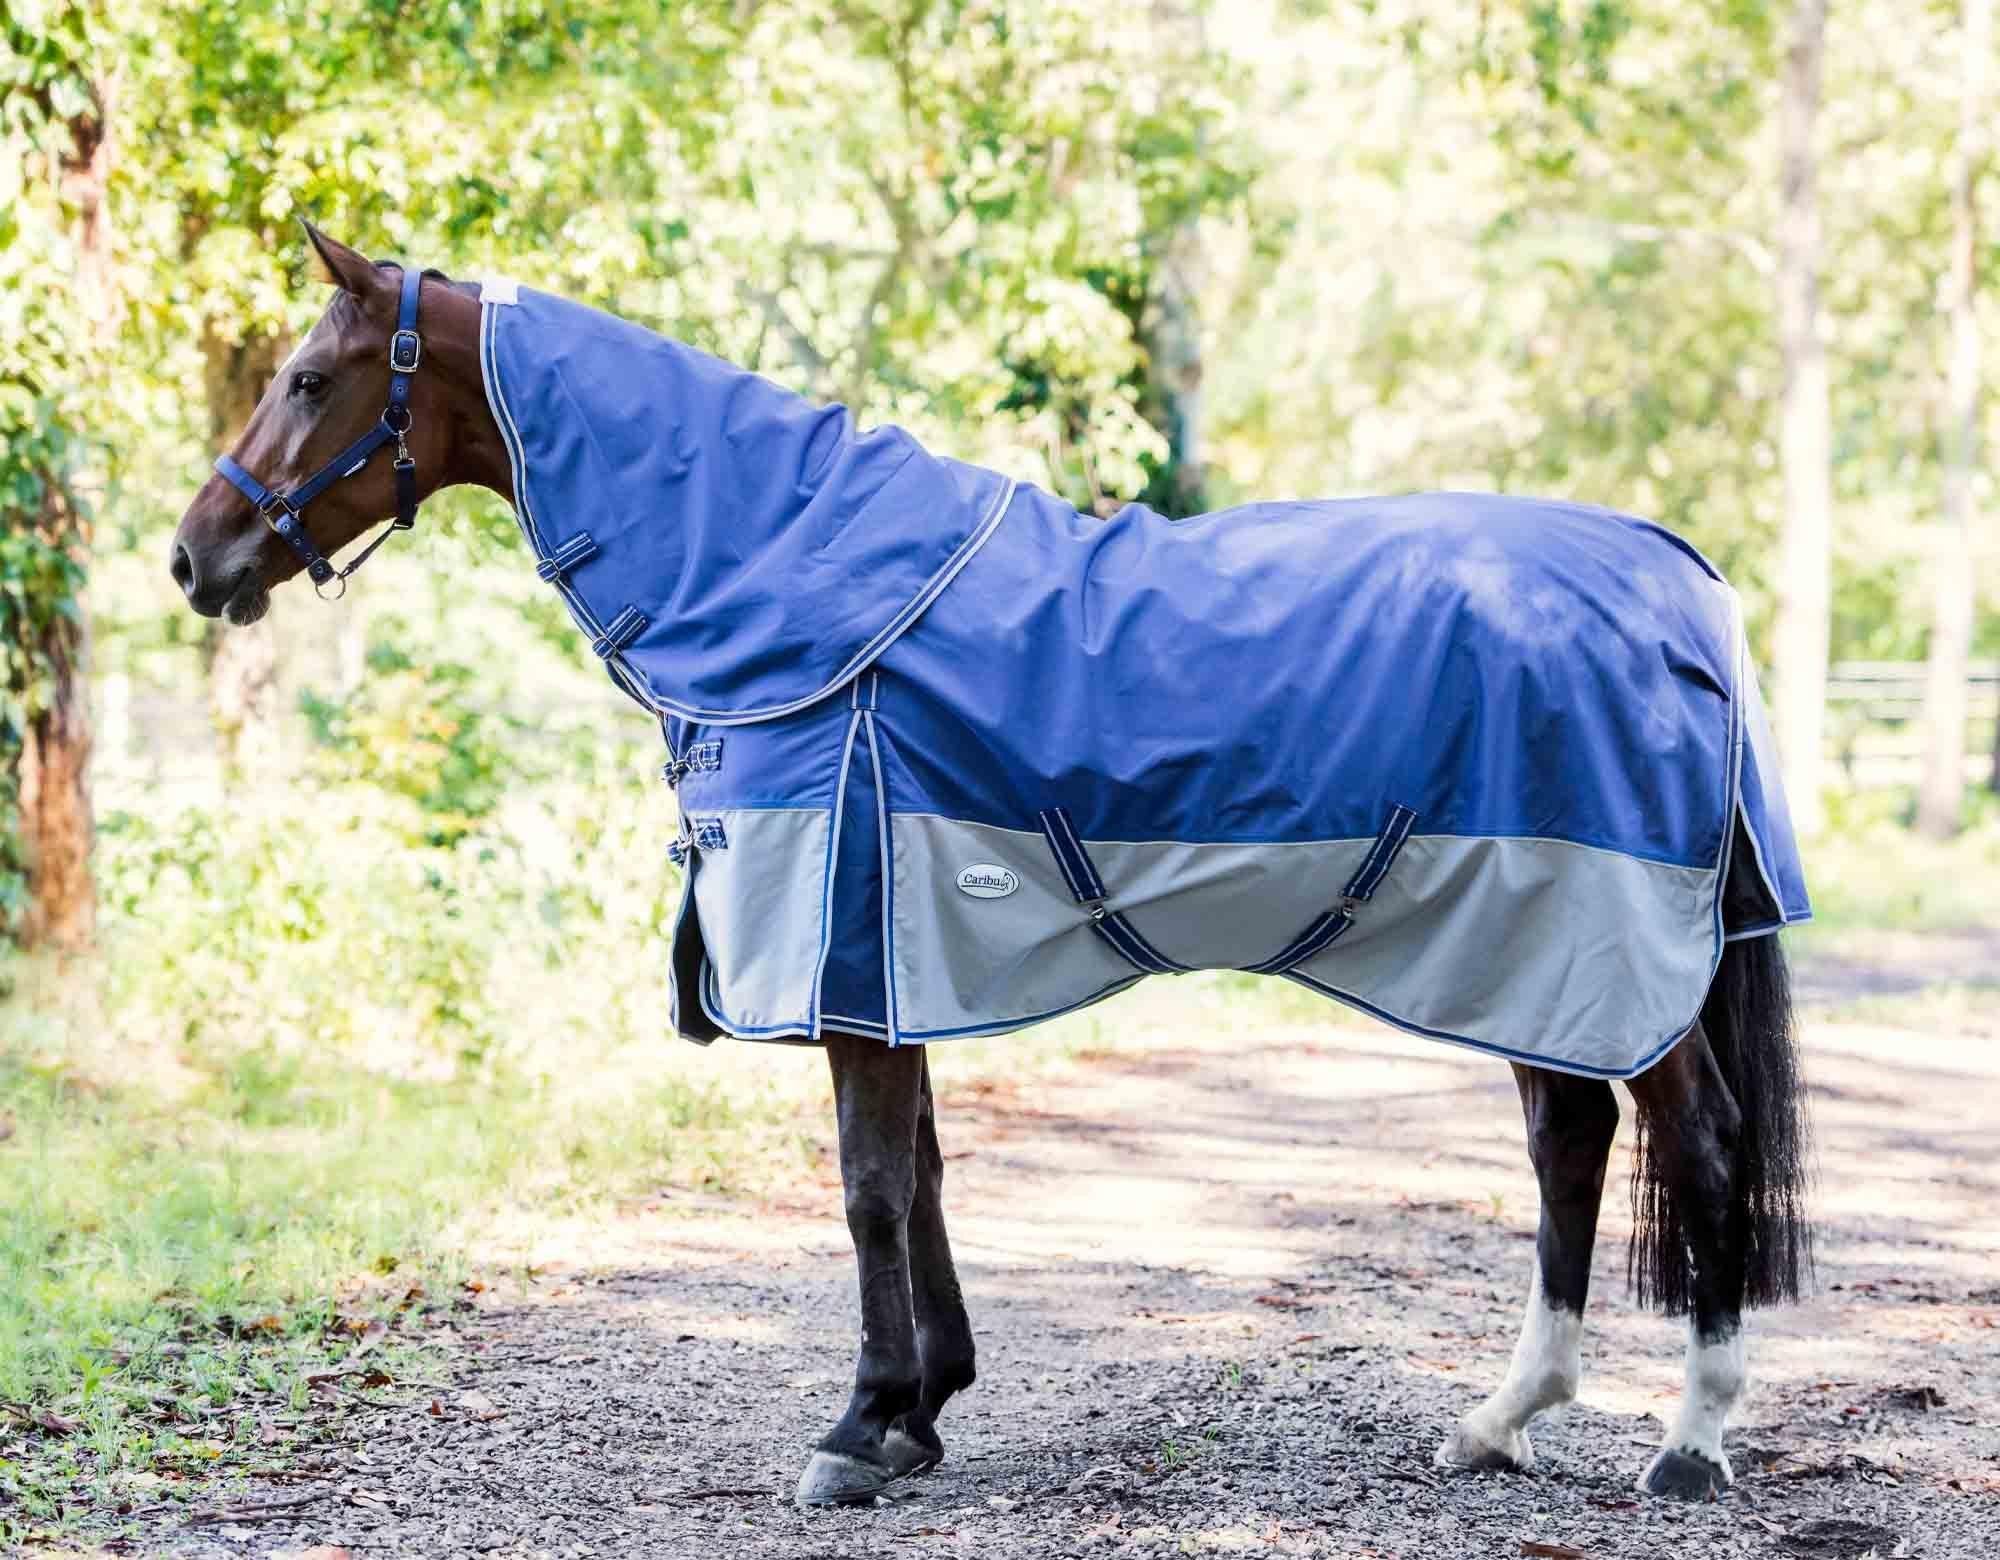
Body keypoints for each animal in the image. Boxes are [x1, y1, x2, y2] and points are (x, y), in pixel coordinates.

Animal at [170, 224, 1813, 1509]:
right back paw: (1499, 1422)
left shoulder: (843, 938)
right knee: (1568, 1144)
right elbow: (924, 1172)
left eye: (307, 380)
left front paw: (858, 1426)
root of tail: (1674, 577)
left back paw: (1688, 1446)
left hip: (1605, 946)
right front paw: (920, 1407)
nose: (195, 560)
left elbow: (869, 1188)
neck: (783, 578)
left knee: (1698, 1146)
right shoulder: (889, 955)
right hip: (1533, 959)